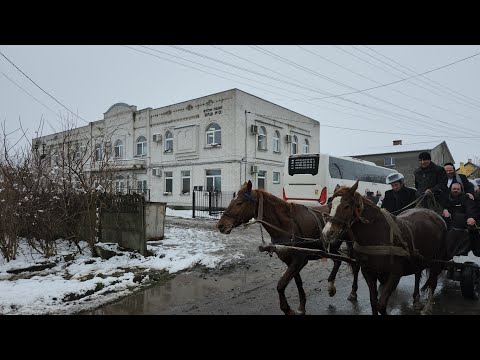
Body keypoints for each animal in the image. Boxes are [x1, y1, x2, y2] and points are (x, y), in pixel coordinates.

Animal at [216, 180, 358, 316]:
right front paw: (301, 306)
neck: (287, 224)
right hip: (332, 247)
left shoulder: (300, 260)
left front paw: (287, 309)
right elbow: (298, 283)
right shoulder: (291, 262)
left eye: (239, 203)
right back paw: (331, 286)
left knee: (355, 265)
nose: (220, 225)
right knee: (338, 261)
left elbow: (281, 285)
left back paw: (353, 292)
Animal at [320, 181, 448, 314]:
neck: (378, 235)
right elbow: (373, 302)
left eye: (346, 206)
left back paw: (427, 307)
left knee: (433, 281)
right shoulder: (368, 272)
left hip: (436, 260)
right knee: (417, 274)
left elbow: (380, 305)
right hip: (418, 258)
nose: (327, 233)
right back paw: (416, 300)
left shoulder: (394, 274)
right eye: (330, 206)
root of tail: (433, 213)